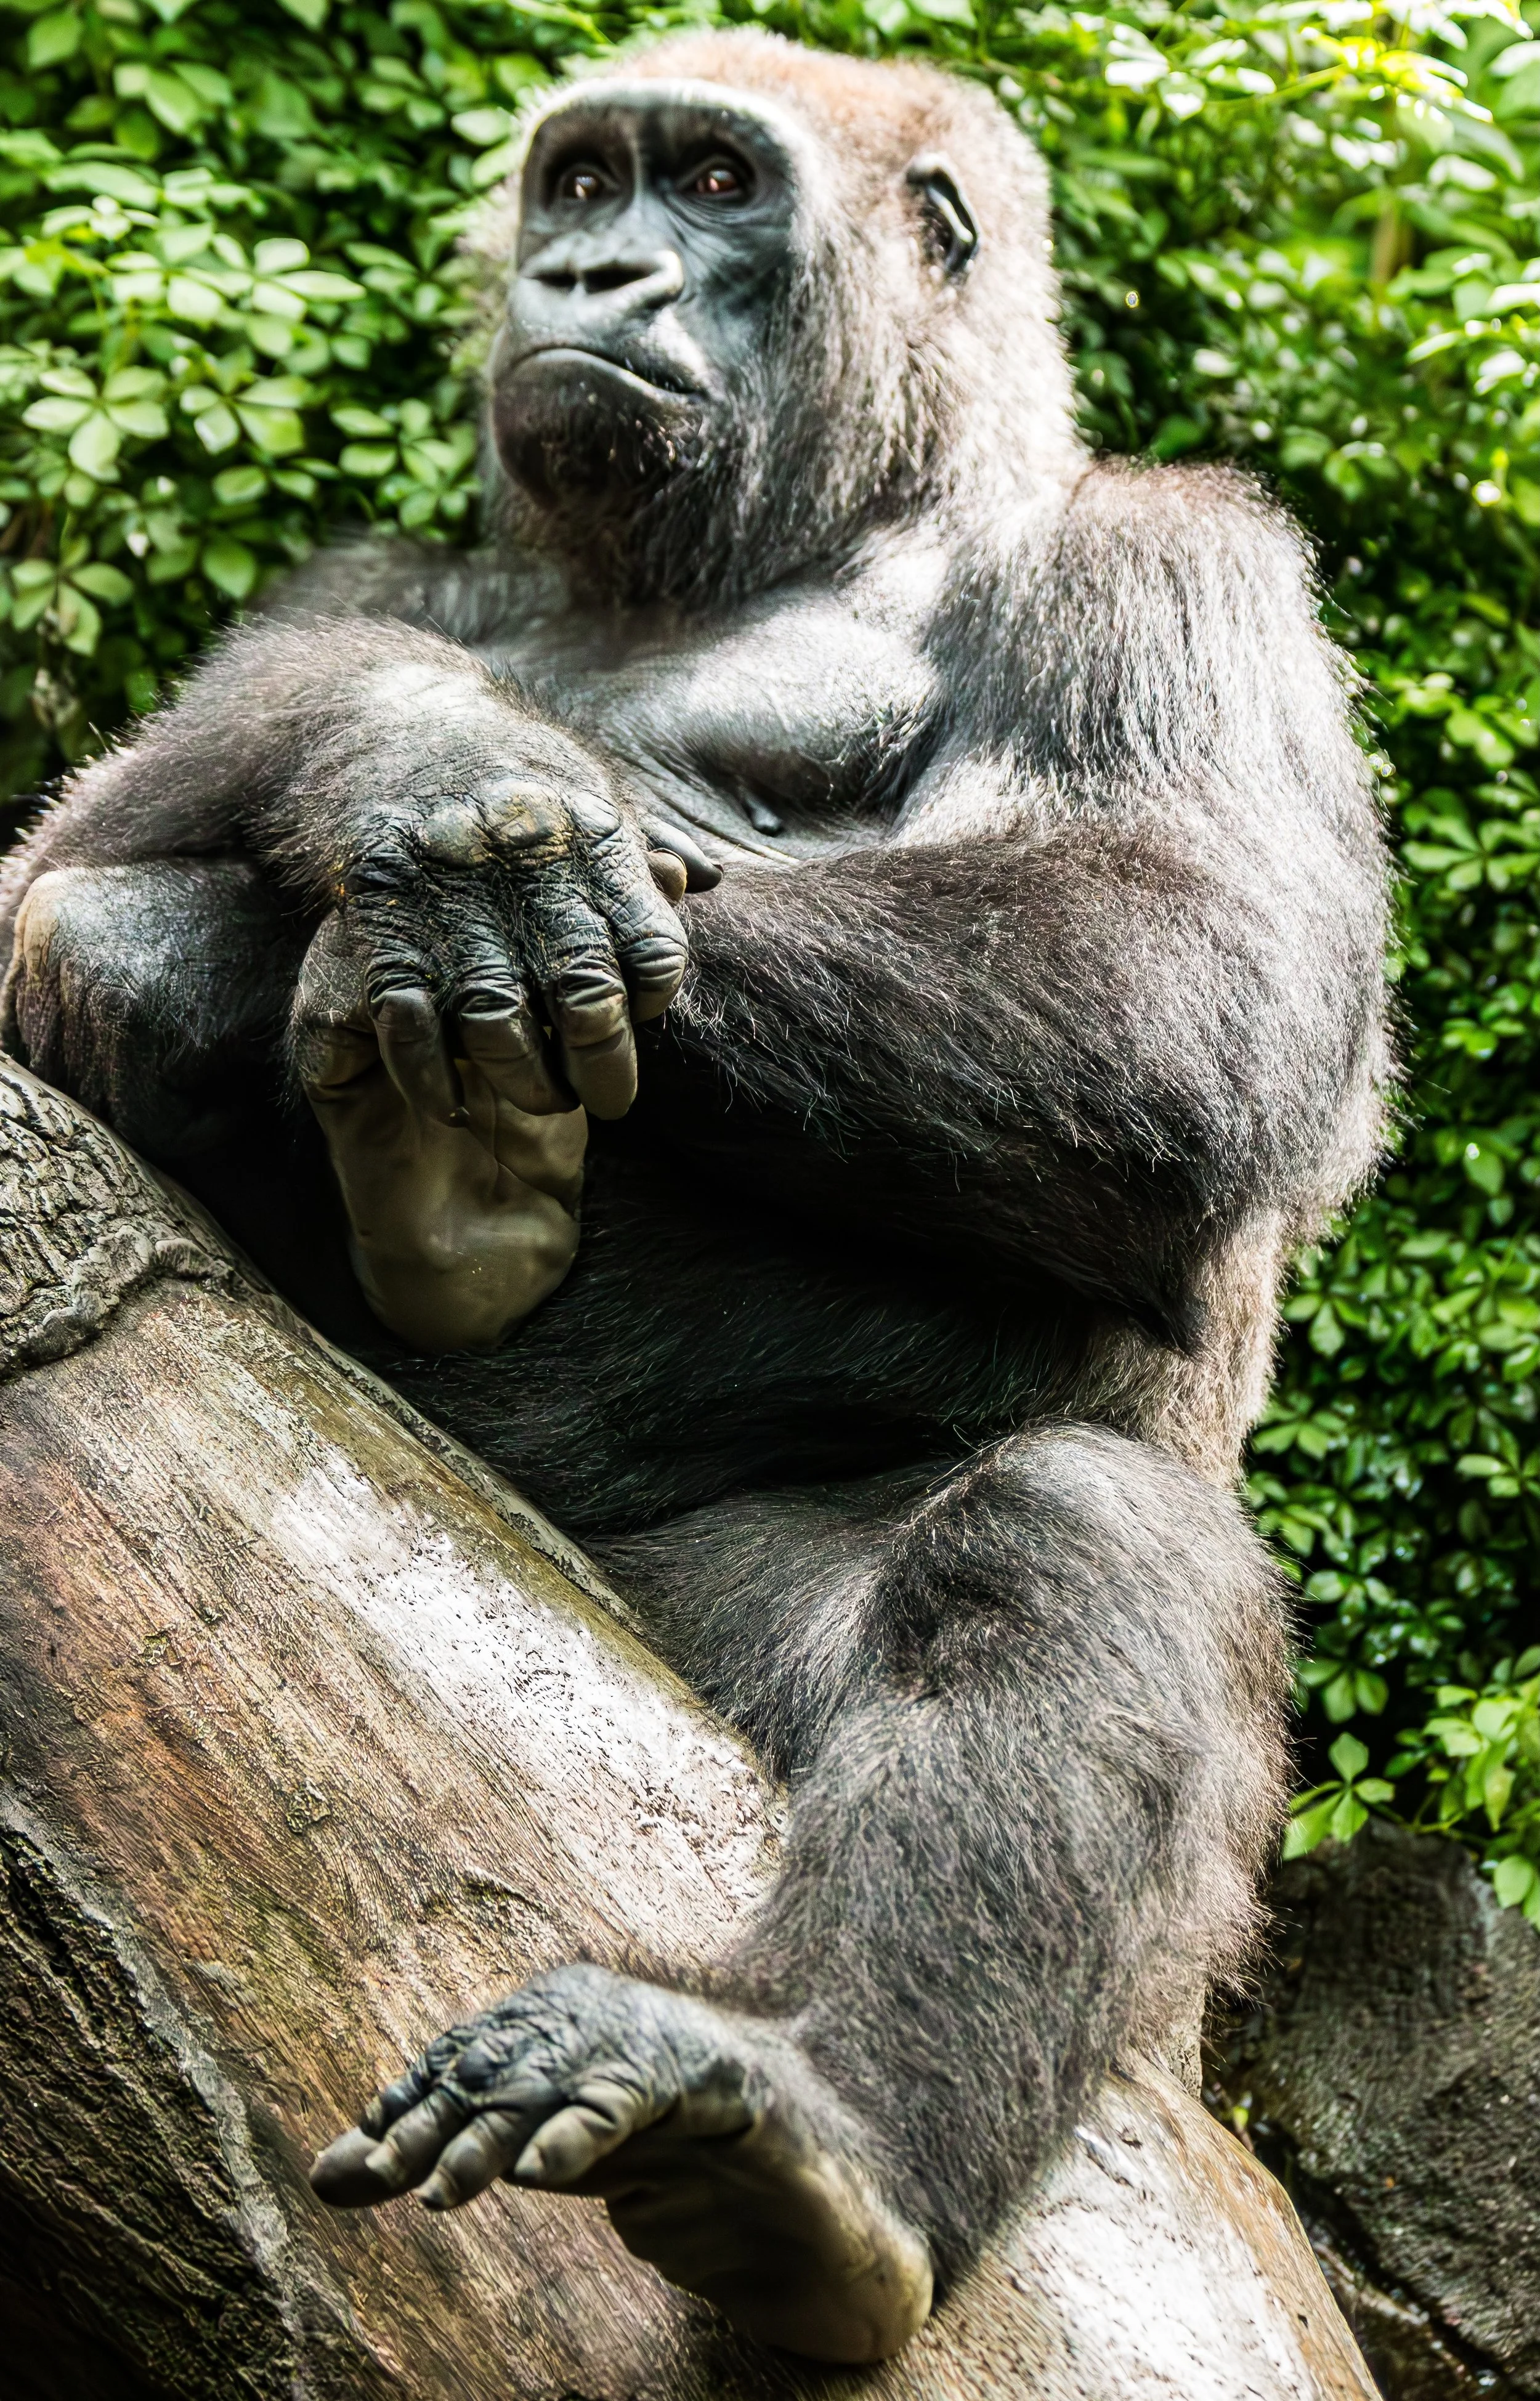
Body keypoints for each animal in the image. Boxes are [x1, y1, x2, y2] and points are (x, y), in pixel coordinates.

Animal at [0, 29, 1390, 2364]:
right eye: (582, 179)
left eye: (716, 186)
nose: (591, 268)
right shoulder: (373, 570)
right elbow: (90, 851)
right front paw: (420, 773)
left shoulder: (1177, 558)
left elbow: (1170, 974)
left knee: (1066, 1537)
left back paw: (819, 2157)